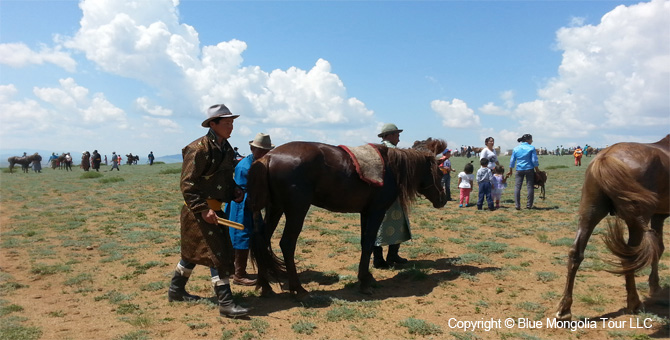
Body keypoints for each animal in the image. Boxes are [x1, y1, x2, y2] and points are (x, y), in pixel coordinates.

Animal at [249, 138, 448, 298]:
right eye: (440, 173)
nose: (443, 199)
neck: (391, 168)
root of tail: (269, 157)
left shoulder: (366, 212)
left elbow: (365, 243)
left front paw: (366, 276)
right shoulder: (377, 211)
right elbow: (369, 242)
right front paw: (365, 283)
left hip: (275, 208)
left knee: (262, 240)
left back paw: (265, 287)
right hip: (296, 210)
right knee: (287, 244)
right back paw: (298, 290)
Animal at [556, 134, 670, 320]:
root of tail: (606, 156)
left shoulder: (658, 216)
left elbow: (659, 248)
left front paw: (655, 287)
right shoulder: (658, 216)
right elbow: (659, 249)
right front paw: (655, 287)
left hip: (589, 213)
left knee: (576, 252)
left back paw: (564, 310)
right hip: (635, 221)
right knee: (630, 257)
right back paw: (634, 303)